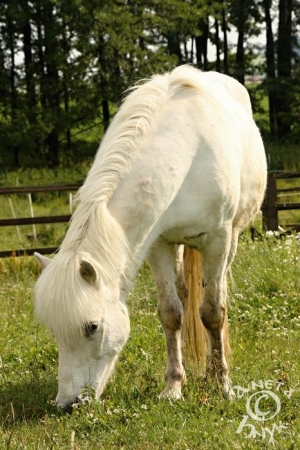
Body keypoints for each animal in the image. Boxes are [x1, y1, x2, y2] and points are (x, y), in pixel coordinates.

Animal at [34, 64, 266, 412]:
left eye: (92, 327)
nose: (68, 404)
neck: (186, 153)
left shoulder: (218, 239)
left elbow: (213, 312)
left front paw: (221, 384)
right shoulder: (158, 243)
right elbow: (171, 314)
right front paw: (173, 385)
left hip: (232, 241)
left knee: (216, 296)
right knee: (185, 296)